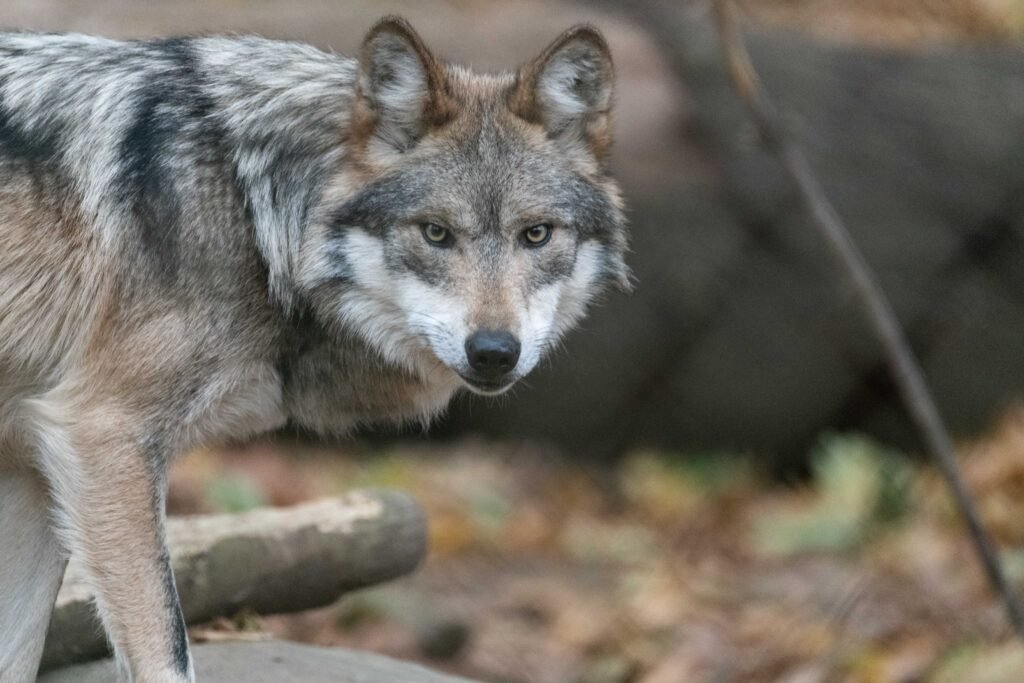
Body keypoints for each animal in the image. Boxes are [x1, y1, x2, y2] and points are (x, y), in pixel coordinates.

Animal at [0, 15, 629, 682]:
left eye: (536, 234)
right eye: (435, 233)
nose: (493, 351)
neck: (254, 211)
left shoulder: (35, 458)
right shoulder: (101, 435)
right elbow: (167, 652)